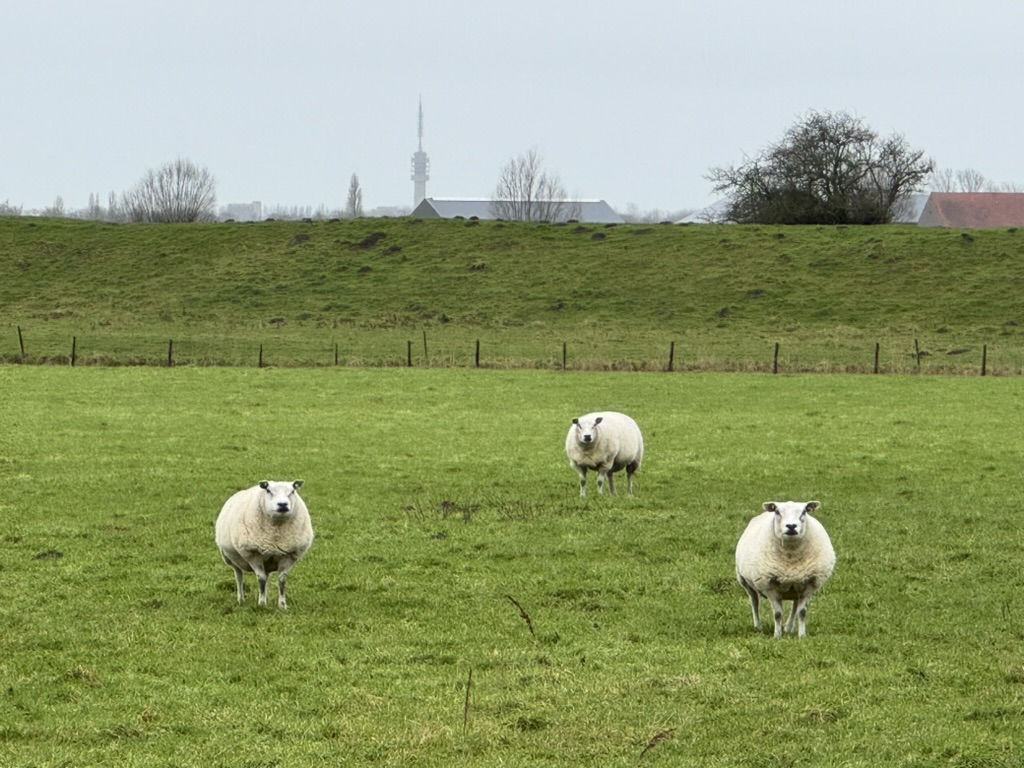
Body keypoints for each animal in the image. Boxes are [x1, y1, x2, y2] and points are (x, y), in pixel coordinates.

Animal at [215, 480, 314, 610]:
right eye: (268, 490)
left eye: (292, 491)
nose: (282, 505)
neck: (276, 535)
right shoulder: (253, 554)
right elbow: (261, 579)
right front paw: (261, 604)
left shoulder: (289, 555)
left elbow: (282, 581)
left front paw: (282, 605)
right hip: (230, 559)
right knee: (239, 576)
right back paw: (241, 599)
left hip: (266, 563)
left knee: (265, 577)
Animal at [735, 500, 835, 638]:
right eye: (777, 511)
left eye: (804, 511)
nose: (791, 526)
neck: (791, 556)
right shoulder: (770, 586)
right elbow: (777, 614)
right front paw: (777, 635)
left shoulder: (810, 584)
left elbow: (802, 612)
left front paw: (802, 636)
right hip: (744, 581)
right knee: (754, 601)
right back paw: (758, 626)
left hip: (797, 585)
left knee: (795, 606)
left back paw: (788, 628)